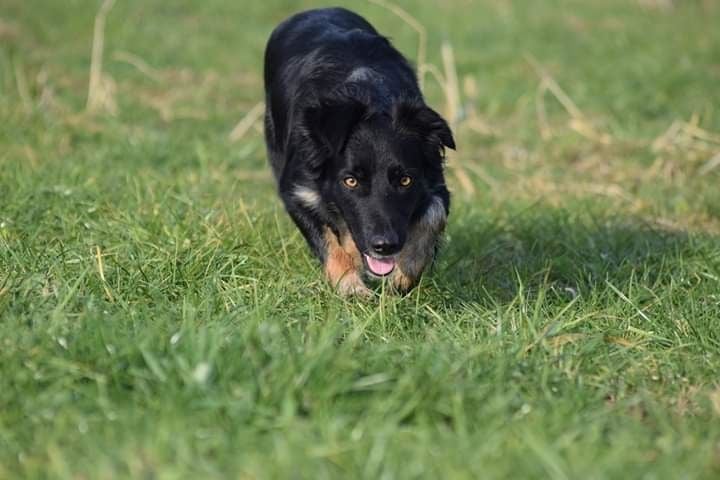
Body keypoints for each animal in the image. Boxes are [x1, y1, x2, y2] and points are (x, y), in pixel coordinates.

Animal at [264, 7, 456, 294]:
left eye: (405, 180)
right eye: (350, 181)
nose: (384, 246)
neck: (369, 94)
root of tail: (317, 9)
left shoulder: (434, 183)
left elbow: (433, 216)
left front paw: (405, 272)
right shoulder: (297, 190)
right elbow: (328, 243)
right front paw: (350, 286)